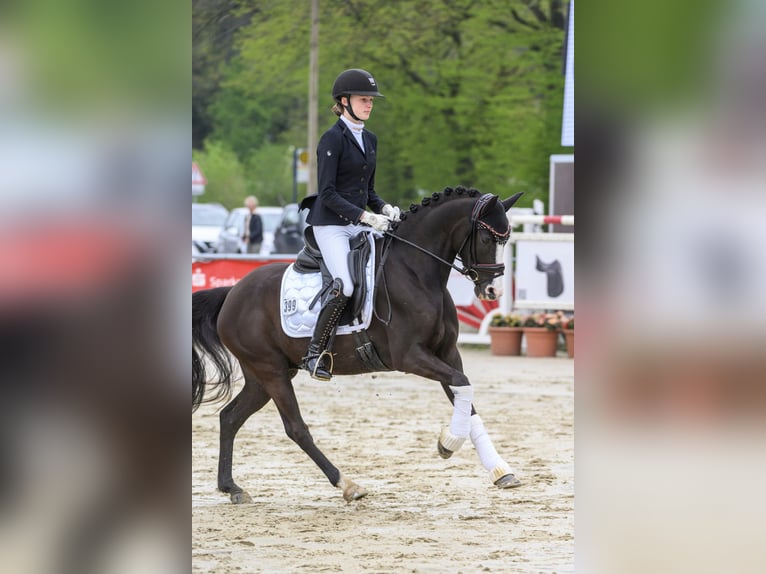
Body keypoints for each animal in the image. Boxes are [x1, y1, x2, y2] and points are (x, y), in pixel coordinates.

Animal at [195, 188, 524, 504]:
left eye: (506, 239)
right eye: (486, 237)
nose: (493, 291)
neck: (415, 271)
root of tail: (232, 293)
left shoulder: (447, 354)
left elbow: (465, 394)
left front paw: (500, 470)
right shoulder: (410, 357)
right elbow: (462, 384)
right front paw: (449, 443)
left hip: (264, 376)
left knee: (230, 417)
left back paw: (231, 487)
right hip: (271, 372)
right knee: (295, 428)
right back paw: (348, 485)